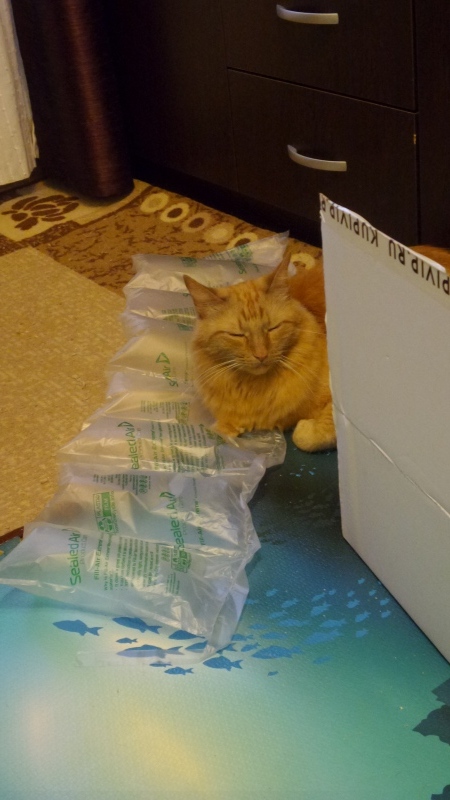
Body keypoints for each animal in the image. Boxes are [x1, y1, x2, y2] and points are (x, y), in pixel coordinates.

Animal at [184, 252, 336, 452]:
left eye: (272, 328)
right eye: (238, 335)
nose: (261, 355)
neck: (255, 388)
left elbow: (306, 436)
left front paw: (304, 426)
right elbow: (222, 429)